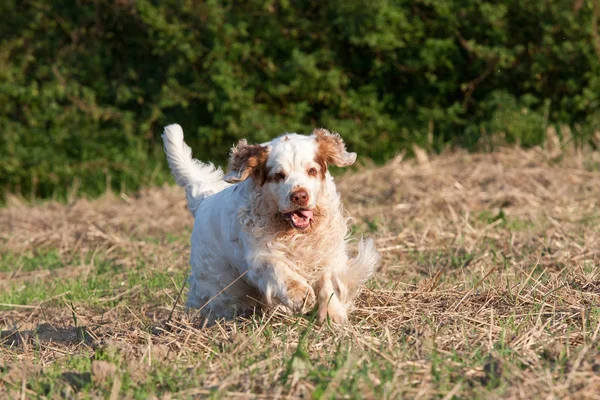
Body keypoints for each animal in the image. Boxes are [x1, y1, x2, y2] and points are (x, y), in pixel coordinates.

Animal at [162, 125, 378, 324]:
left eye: (312, 171)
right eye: (279, 175)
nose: (299, 196)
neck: (295, 233)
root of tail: (204, 199)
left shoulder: (326, 253)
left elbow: (328, 283)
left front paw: (332, 316)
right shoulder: (258, 257)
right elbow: (277, 268)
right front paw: (299, 295)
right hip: (218, 282)